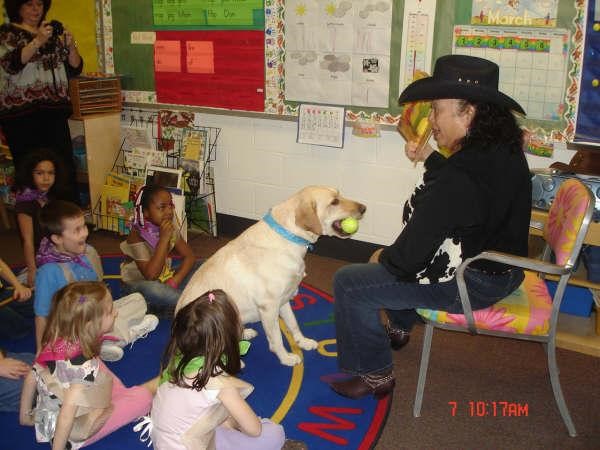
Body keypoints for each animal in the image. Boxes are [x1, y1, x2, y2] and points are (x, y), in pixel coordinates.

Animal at [177, 186, 366, 366]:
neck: (289, 236)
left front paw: (303, 342)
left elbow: (293, 324)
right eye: (334, 202)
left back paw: (245, 333)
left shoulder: (284, 300)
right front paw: (286, 358)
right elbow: (276, 339)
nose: (364, 208)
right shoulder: (268, 308)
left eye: (339, 194)